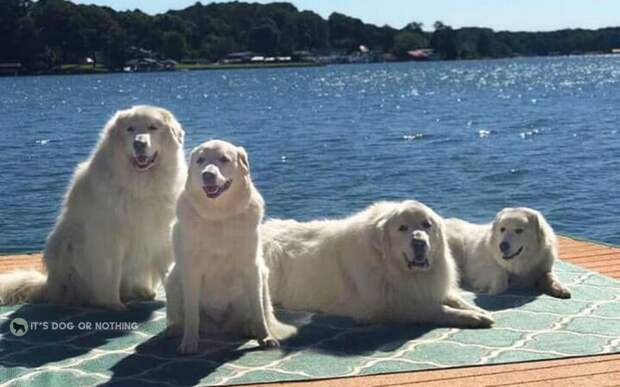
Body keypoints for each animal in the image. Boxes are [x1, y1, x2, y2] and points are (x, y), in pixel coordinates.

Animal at [0, 105, 186, 310]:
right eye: (130, 129)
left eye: (153, 127)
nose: (139, 143)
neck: (141, 185)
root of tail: (48, 286)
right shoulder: (109, 240)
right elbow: (110, 276)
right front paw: (113, 305)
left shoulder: (161, 235)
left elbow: (166, 270)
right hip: (65, 245)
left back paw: (142, 292)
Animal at [165, 141, 296, 356]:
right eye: (200, 160)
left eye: (224, 159)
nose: (207, 174)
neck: (218, 216)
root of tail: (221, 327)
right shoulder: (191, 270)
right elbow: (192, 314)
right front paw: (189, 342)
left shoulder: (252, 268)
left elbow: (258, 311)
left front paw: (265, 337)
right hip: (173, 278)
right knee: (183, 317)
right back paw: (176, 329)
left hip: (262, 276)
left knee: (258, 311)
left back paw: (249, 328)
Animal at [262, 202, 494, 328]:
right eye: (402, 228)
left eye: (427, 225)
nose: (419, 242)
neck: (391, 267)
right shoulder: (390, 305)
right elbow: (437, 310)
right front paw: (471, 317)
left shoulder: (425, 287)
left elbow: (454, 299)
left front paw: (477, 310)